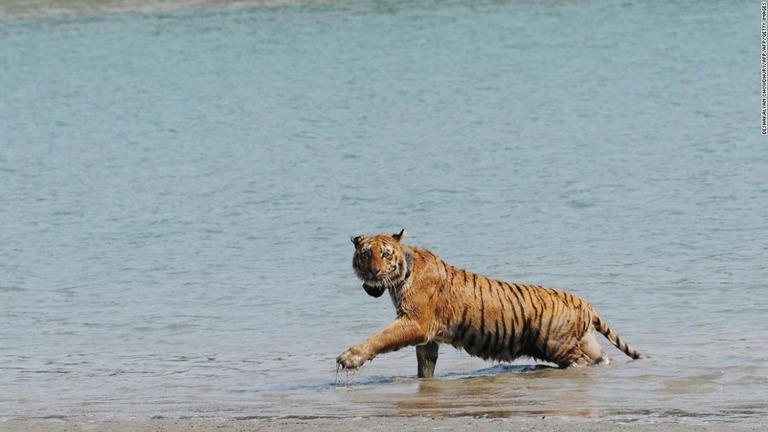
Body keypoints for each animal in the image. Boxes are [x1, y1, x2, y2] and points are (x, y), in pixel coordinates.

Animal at [340, 230, 644, 378]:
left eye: (385, 254)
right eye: (366, 254)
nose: (374, 273)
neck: (402, 275)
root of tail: (585, 303)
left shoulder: (415, 323)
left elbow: (380, 338)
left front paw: (348, 358)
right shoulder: (428, 338)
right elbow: (424, 366)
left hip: (558, 345)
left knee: (579, 363)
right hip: (583, 343)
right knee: (602, 358)